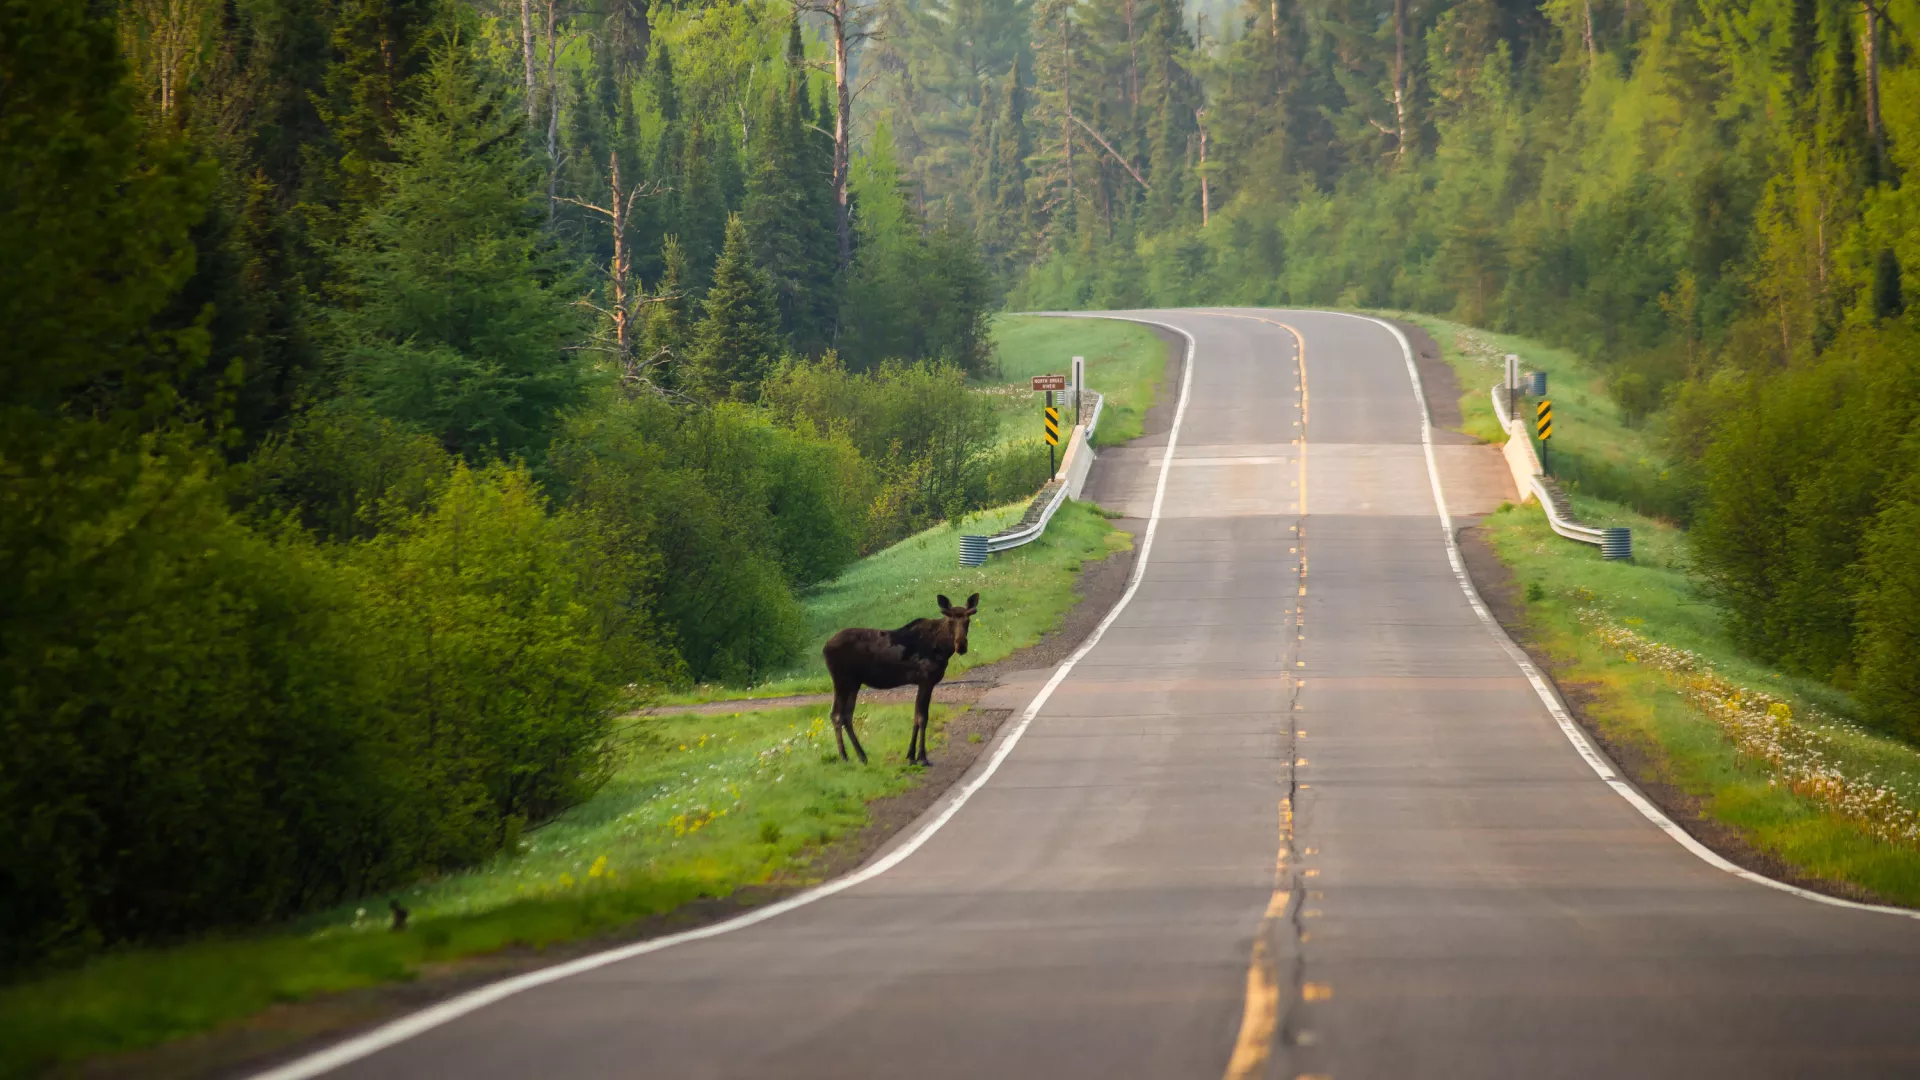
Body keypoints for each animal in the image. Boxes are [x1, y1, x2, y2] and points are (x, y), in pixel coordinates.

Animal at [821, 593, 979, 767]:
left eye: (968, 621)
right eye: (950, 621)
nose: (961, 646)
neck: (943, 649)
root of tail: (824, 648)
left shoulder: (923, 682)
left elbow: (916, 717)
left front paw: (911, 756)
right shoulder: (926, 680)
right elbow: (922, 717)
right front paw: (922, 757)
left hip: (854, 682)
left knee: (847, 715)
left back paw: (862, 756)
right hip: (841, 679)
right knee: (836, 714)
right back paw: (844, 757)